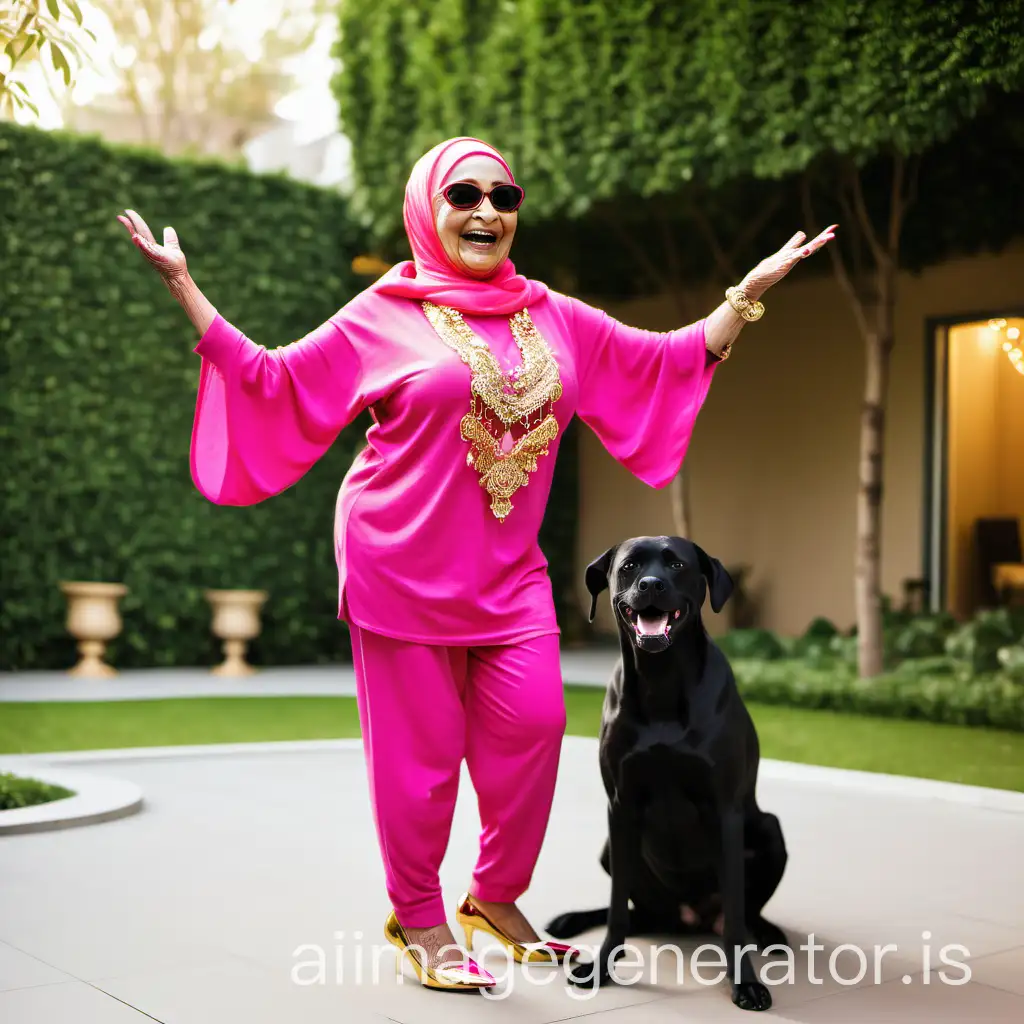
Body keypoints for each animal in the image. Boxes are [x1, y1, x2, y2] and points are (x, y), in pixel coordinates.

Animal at [548, 536, 786, 1007]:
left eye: (676, 565)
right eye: (629, 567)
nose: (651, 585)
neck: (661, 681)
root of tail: (688, 917)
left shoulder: (725, 809)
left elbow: (736, 919)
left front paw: (746, 982)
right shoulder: (620, 806)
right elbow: (616, 909)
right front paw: (600, 968)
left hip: (770, 828)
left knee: (747, 911)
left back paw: (769, 933)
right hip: (610, 849)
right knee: (636, 913)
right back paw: (570, 921)